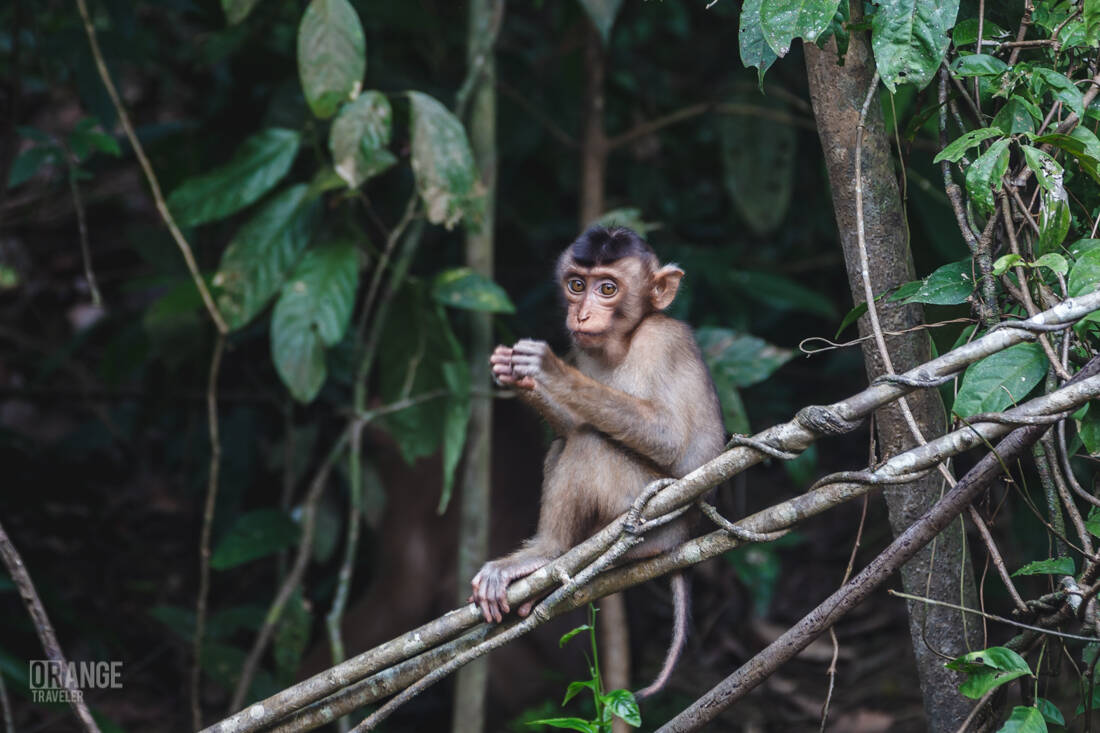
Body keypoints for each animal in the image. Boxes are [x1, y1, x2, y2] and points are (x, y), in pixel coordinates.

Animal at [471, 225, 725, 698]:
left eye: (607, 289)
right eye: (576, 285)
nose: (582, 316)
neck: (622, 342)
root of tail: (684, 535)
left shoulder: (662, 341)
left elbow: (669, 439)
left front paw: (548, 368)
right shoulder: (583, 350)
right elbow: (569, 424)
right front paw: (516, 375)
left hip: (645, 516)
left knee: (590, 443)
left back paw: (546, 552)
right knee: (566, 441)